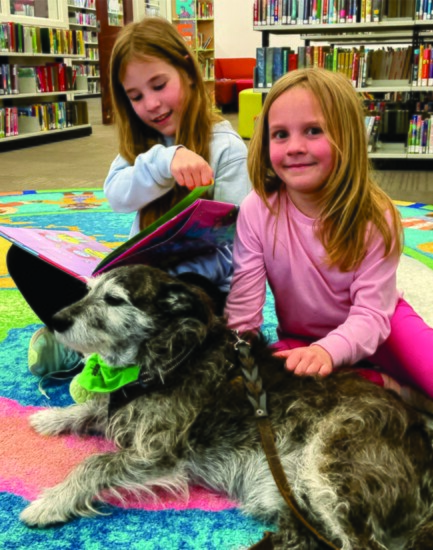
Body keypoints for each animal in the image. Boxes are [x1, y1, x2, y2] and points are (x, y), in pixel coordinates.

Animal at [19, 266, 432, 548]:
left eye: (114, 300)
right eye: (89, 291)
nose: (56, 320)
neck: (172, 356)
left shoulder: (158, 454)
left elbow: (95, 463)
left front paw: (51, 502)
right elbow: (96, 407)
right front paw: (54, 417)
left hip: (333, 467)